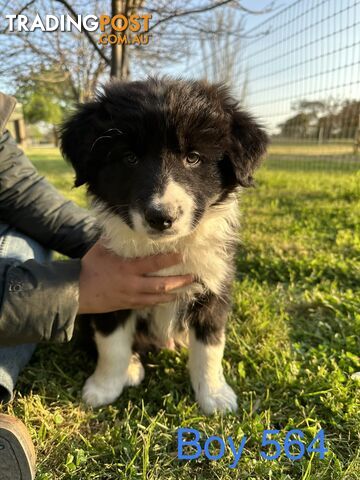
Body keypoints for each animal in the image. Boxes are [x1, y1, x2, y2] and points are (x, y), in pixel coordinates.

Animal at [60, 77, 268, 414]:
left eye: (193, 157)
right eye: (129, 158)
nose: (161, 217)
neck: (164, 248)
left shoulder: (214, 287)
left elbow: (210, 347)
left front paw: (214, 395)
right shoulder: (110, 288)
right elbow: (111, 344)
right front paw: (104, 387)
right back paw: (132, 367)